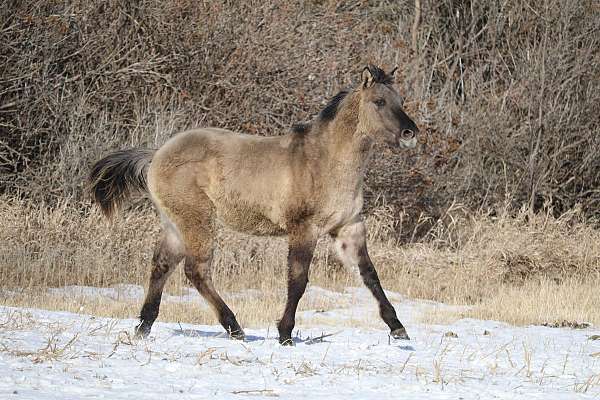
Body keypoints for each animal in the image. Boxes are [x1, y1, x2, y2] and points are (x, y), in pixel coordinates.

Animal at [89, 63, 420, 344]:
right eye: (379, 101)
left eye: (400, 99)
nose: (410, 134)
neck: (325, 161)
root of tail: (156, 154)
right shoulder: (304, 229)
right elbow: (298, 281)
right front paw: (285, 333)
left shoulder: (348, 228)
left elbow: (370, 274)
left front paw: (398, 328)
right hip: (198, 221)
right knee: (196, 270)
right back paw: (234, 328)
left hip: (175, 224)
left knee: (162, 265)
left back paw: (144, 326)